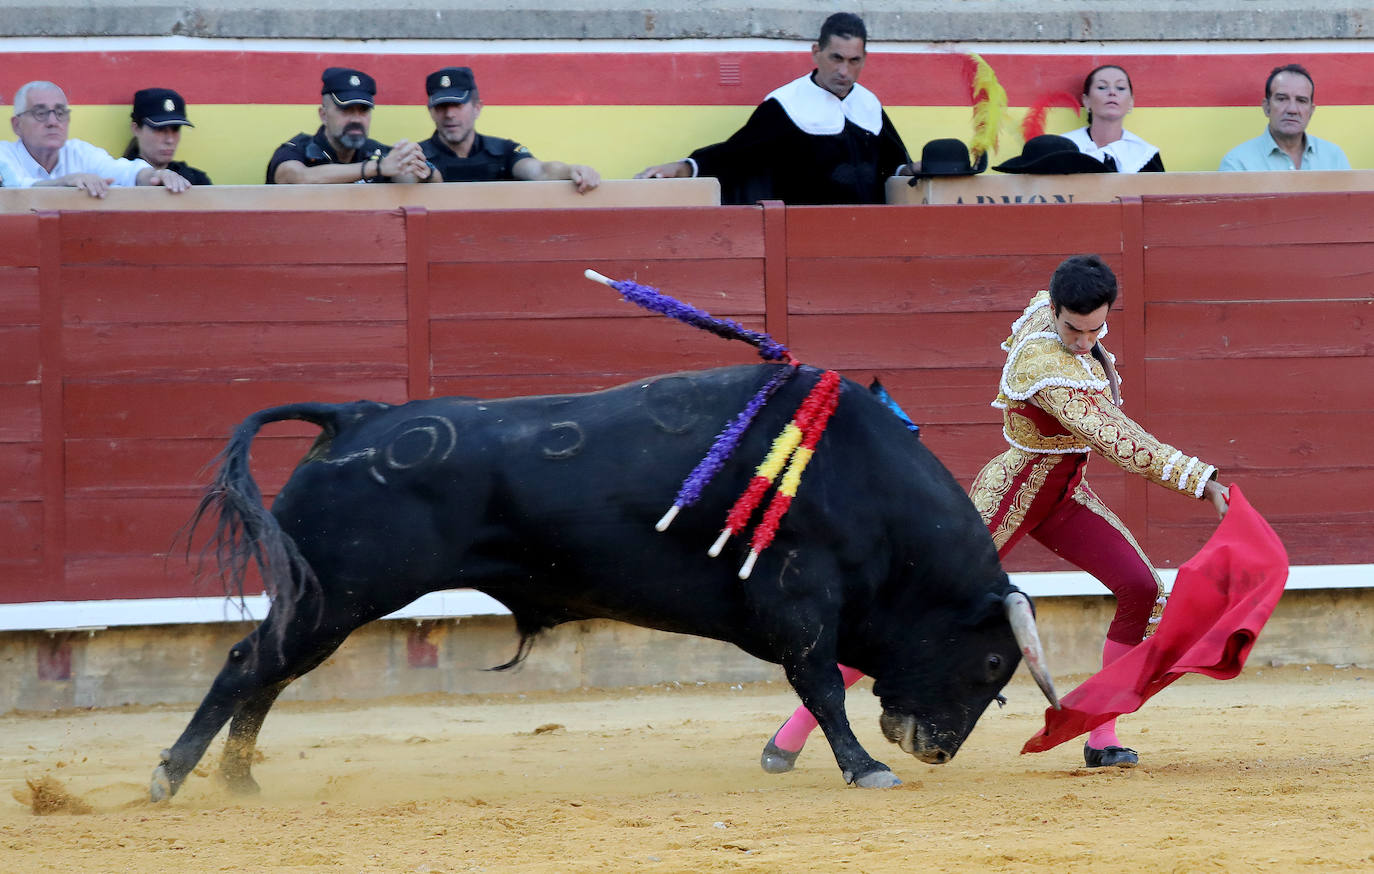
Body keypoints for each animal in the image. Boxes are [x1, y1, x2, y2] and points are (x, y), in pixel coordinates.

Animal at [150, 362, 1055, 797]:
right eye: (990, 664)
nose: (935, 749)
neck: (866, 480)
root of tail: (358, 417)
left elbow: (819, 684)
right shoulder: (801, 598)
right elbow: (824, 686)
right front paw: (866, 768)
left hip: (325, 600)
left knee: (268, 674)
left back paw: (238, 781)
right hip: (341, 594)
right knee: (251, 666)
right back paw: (172, 776)